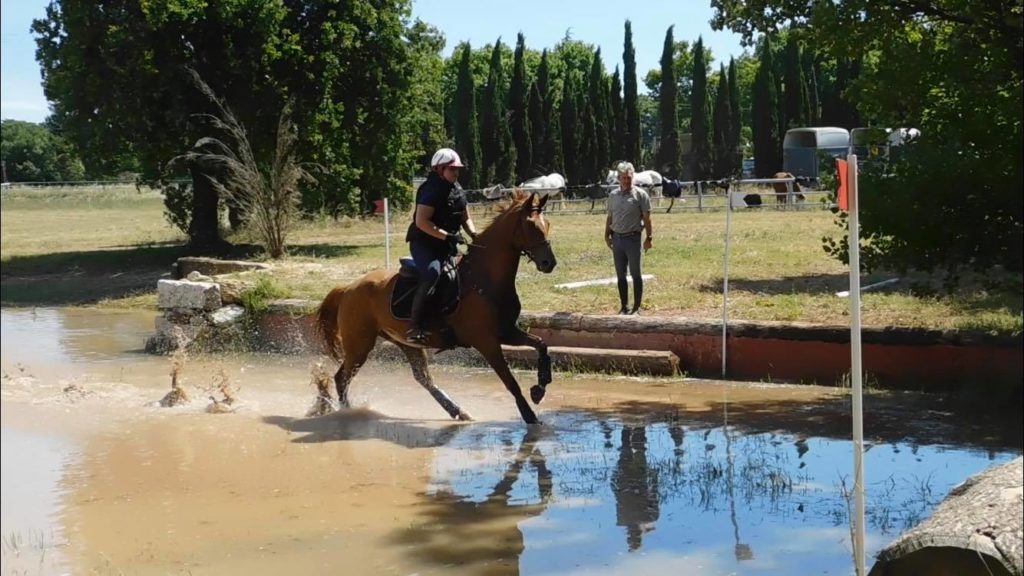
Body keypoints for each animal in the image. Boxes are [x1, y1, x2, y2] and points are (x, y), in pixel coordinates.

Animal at [315, 189, 561, 422]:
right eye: (531, 225)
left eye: (547, 224)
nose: (549, 263)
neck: (484, 279)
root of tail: (348, 287)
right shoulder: (486, 341)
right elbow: (510, 382)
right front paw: (529, 415)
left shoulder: (507, 331)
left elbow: (542, 345)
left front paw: (539, 388)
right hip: (360, 344)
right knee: (341, 378)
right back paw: (346, 411)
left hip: (405, 343)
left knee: (423, 377)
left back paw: (458, 411)